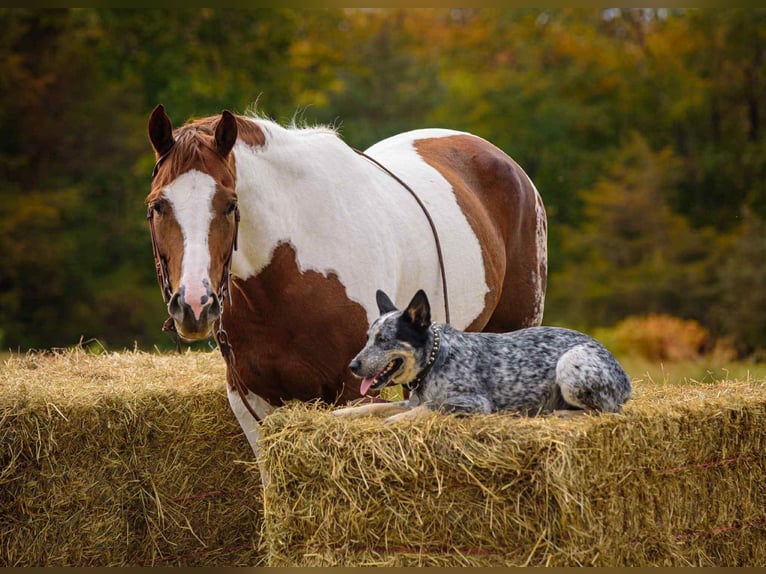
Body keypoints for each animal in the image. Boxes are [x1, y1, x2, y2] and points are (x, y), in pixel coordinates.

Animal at [146, 104, 547, 456]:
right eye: (157, 205)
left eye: (230, 204)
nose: (194, 305)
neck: (287, 275)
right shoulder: (251, 398)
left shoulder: (355, 386)